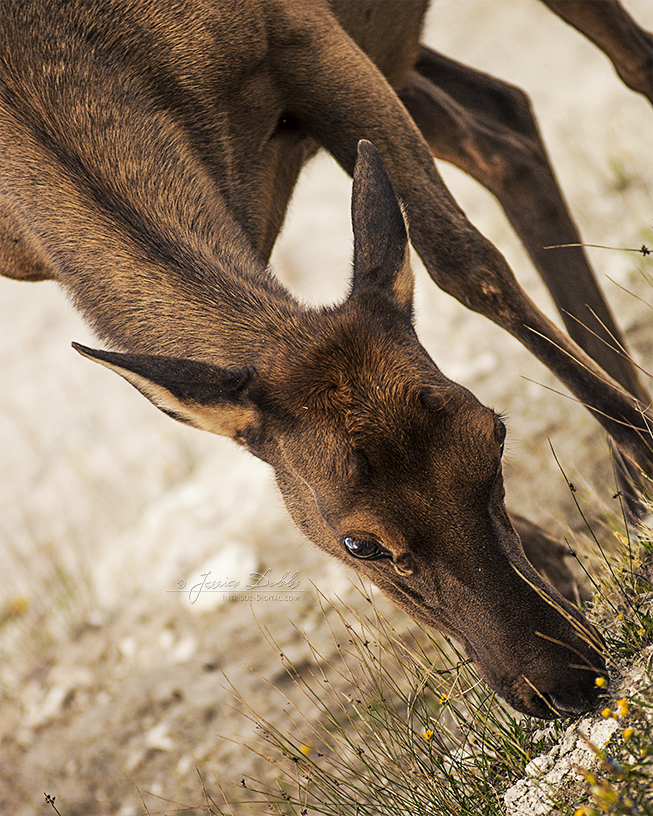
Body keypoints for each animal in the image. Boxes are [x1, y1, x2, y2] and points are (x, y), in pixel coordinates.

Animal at [0, 0, 648, 716]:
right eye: (358, 542)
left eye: (495, 434)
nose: (566, 679)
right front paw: (564, 562)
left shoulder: (302, 32)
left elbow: (464, 259)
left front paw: (642, 464)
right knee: (501, 118)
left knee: (626, 65)